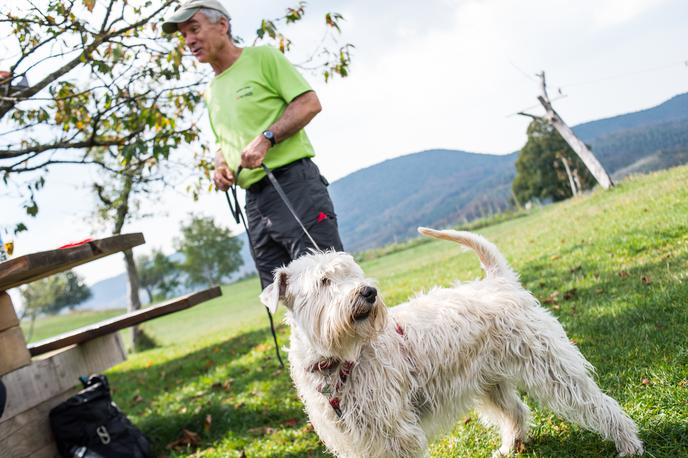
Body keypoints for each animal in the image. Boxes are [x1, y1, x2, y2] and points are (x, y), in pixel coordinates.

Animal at [260, 227, 644, 456]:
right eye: (324, 281)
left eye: (352, 273)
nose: (368, 292)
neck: (337, 360)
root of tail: (499, 281)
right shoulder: (353, 438)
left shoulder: (394, 431)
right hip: (490, 383)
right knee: (516, 412)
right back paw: (509, 448)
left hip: (553, 369)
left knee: (599, 405)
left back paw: (629, 445)